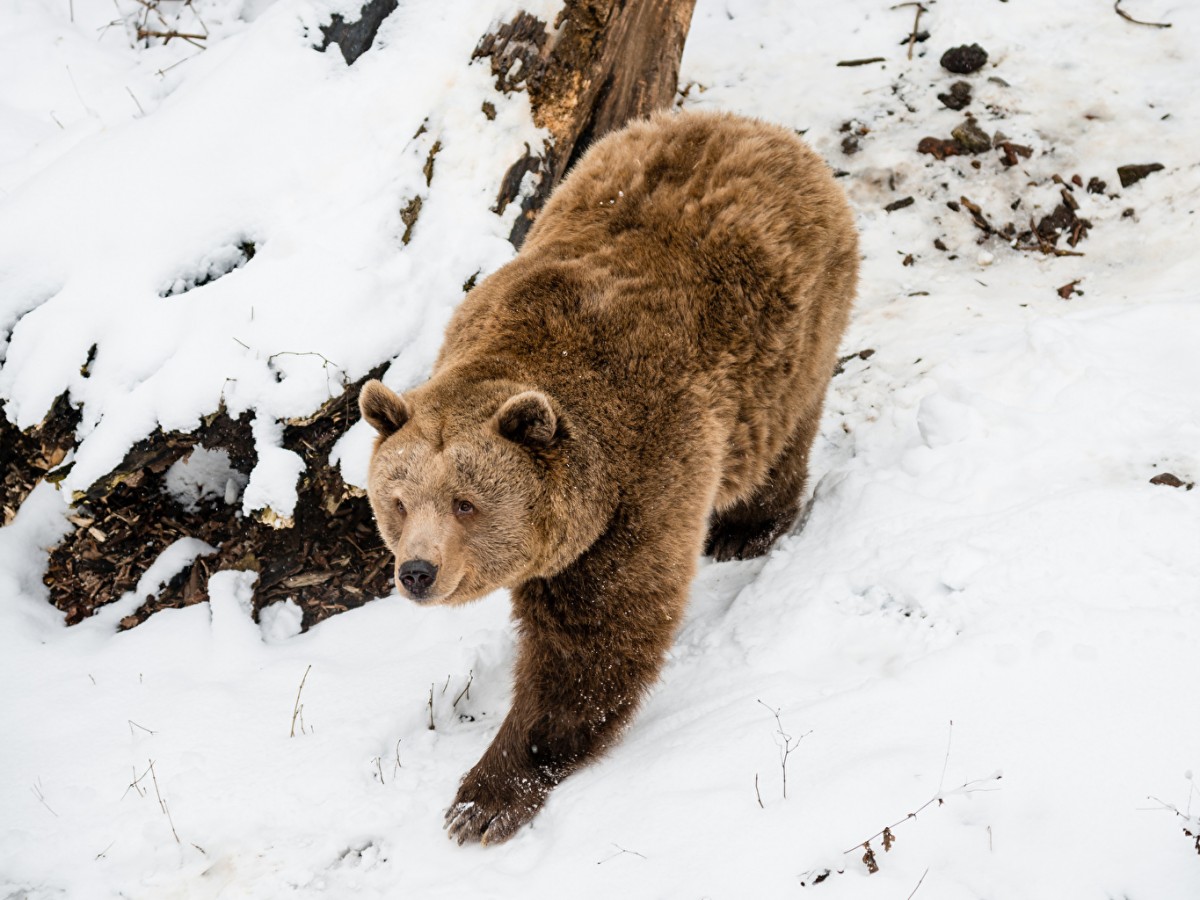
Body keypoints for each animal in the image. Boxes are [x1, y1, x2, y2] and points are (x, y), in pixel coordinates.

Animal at [355, 111, 854, 844]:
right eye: (397, 501)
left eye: (466, 503)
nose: (416, 571)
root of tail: (759, 128)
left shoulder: (640, 483)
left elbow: (596, 641)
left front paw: (484, 798)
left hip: (794, 342)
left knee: (780, 440)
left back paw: (746, 530)